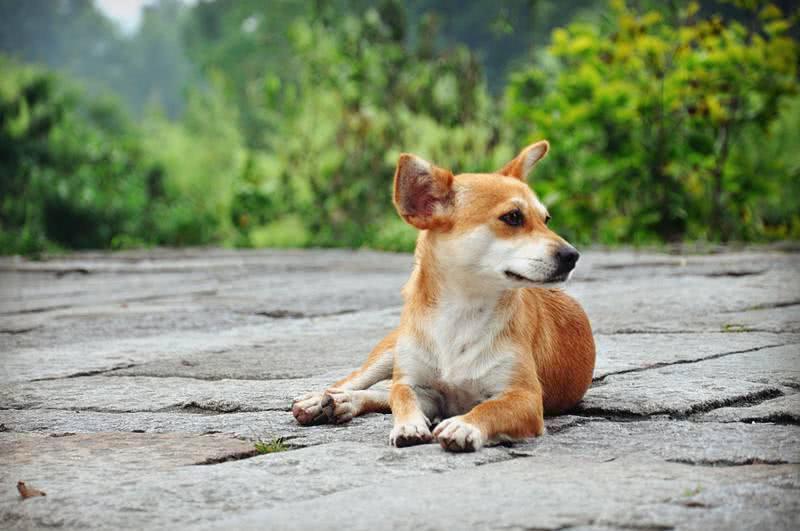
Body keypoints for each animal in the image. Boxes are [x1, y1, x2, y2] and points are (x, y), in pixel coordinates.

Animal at [292, 141, 592, 454]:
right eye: (512, 217)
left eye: (546, 220)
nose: (572, 255)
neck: (461, 312)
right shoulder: (419, 388)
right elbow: (402, 396)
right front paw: (409, 425)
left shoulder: (525, 398)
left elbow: (490, 408)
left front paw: (464, 425)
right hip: (390, 351)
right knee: (362, 382)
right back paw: (322, 399)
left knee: (382, 391)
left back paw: (342, 403)